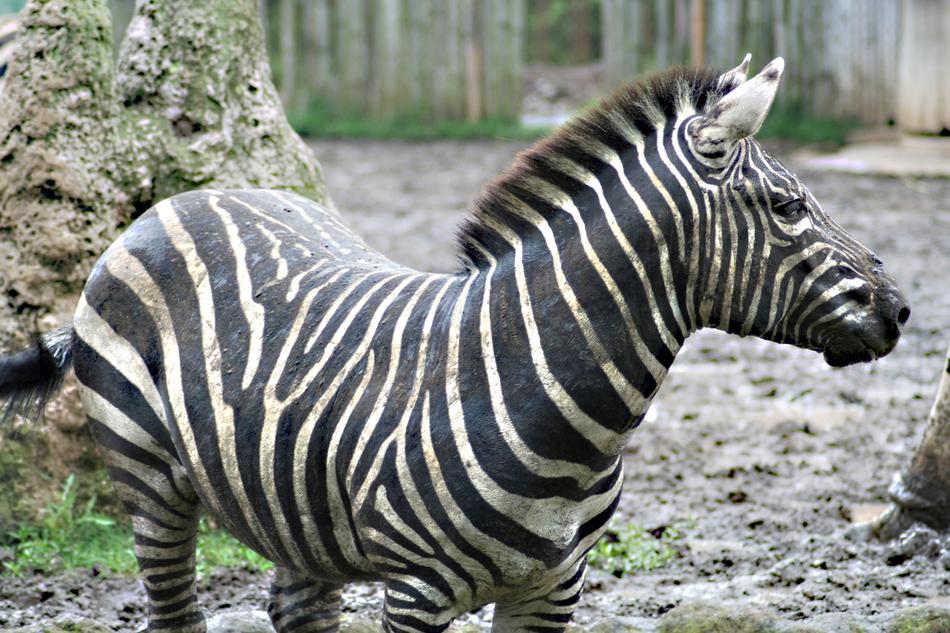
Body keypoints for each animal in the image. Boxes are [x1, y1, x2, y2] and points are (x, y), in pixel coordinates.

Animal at [0, 57, 908, 632]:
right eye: (789, 206)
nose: (900, 309)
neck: (568, 415)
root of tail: (176, 202)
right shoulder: (415, 593)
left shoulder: (553, 591)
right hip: (151, 482)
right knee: (174, 608)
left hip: (292, 502)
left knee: (299, 606)